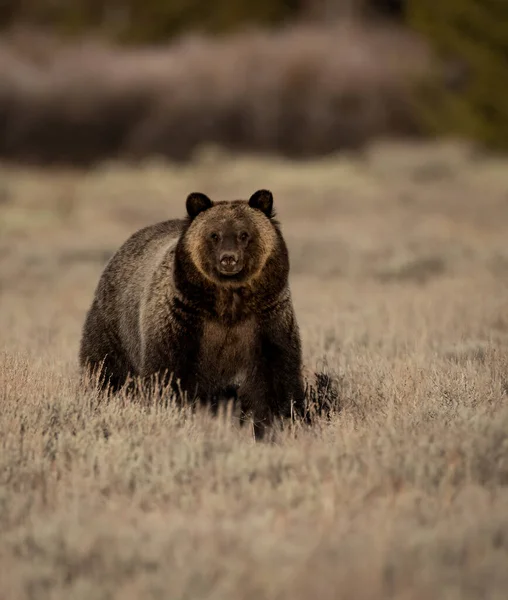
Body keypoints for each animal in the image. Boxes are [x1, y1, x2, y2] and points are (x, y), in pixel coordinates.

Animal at [80, 190, 306, 438]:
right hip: (115, 325)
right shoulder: (182, 322)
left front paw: (276, 425)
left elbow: (275, 380)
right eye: (214, 234)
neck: (228, 305)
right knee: (106, 368)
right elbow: (168, 376)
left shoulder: (266, 321)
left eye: (244, 234)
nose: (229, 259)